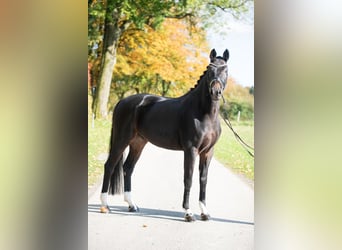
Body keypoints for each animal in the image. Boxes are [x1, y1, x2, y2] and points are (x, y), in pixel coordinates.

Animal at [101, 48, 230, 221]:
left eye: (226, 70)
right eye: (210, 70)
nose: (216, 92)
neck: (204, 114)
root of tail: (122, 102)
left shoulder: (208, 152)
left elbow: (203, 180)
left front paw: (204, 212)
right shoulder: (191, 150)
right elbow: (188, 178)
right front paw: (188, 213)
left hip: (138, 143)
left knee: (128, 167)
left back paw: (132, 205)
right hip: (121, 140)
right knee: (109, 165)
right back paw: (105, 206)